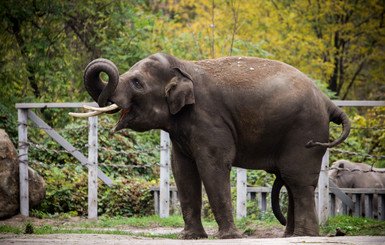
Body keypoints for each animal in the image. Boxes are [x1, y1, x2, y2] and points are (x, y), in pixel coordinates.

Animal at [70, 52, 350, 238]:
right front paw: (189, 237)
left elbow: (212, 166)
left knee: (297, 180)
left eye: (137, 83)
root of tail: (328, 102)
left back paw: (305, 236)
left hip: (305, 132)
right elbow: (183, 171)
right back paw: (290, 236)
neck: (183, 67)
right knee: (292, 182)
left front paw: (229, 238)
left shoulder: (210, 120)